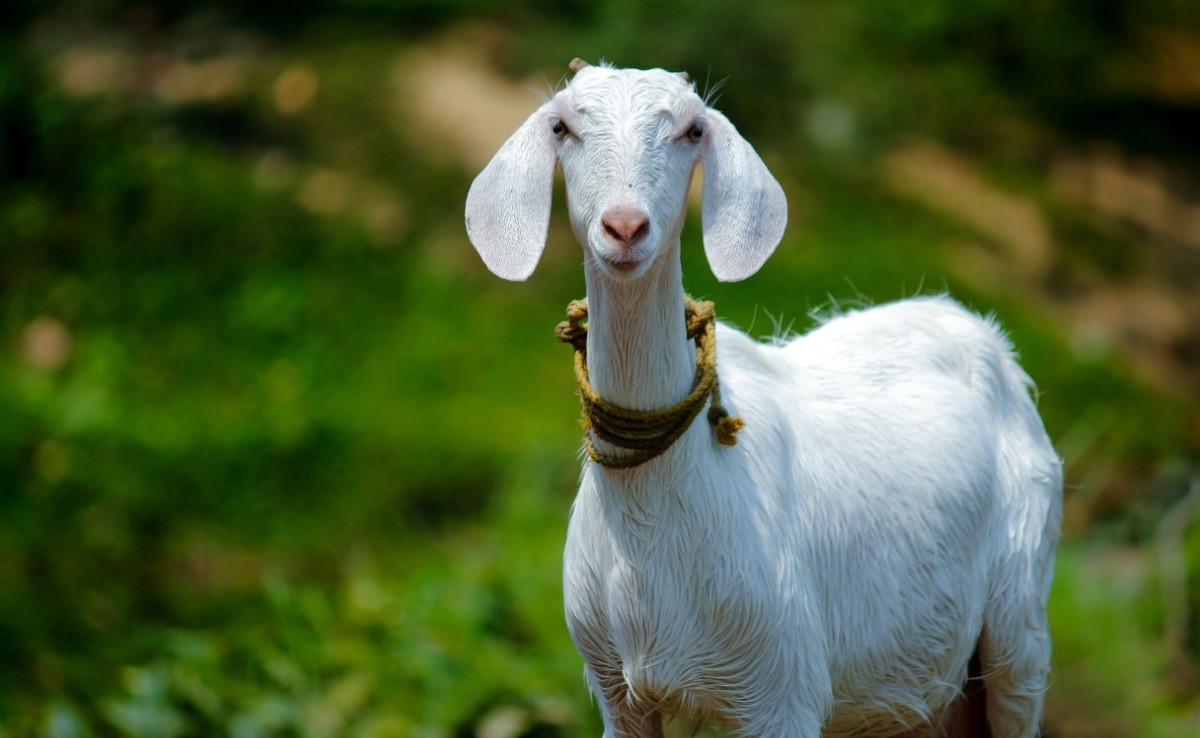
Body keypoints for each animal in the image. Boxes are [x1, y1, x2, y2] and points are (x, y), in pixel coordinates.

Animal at [465, 60, 1062, 738]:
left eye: (693, 130)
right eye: (562, 126)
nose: (624, 227)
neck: (657, 515)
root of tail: (977, 329)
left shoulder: (783, 689)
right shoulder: (618, 693)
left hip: (1021, 616)